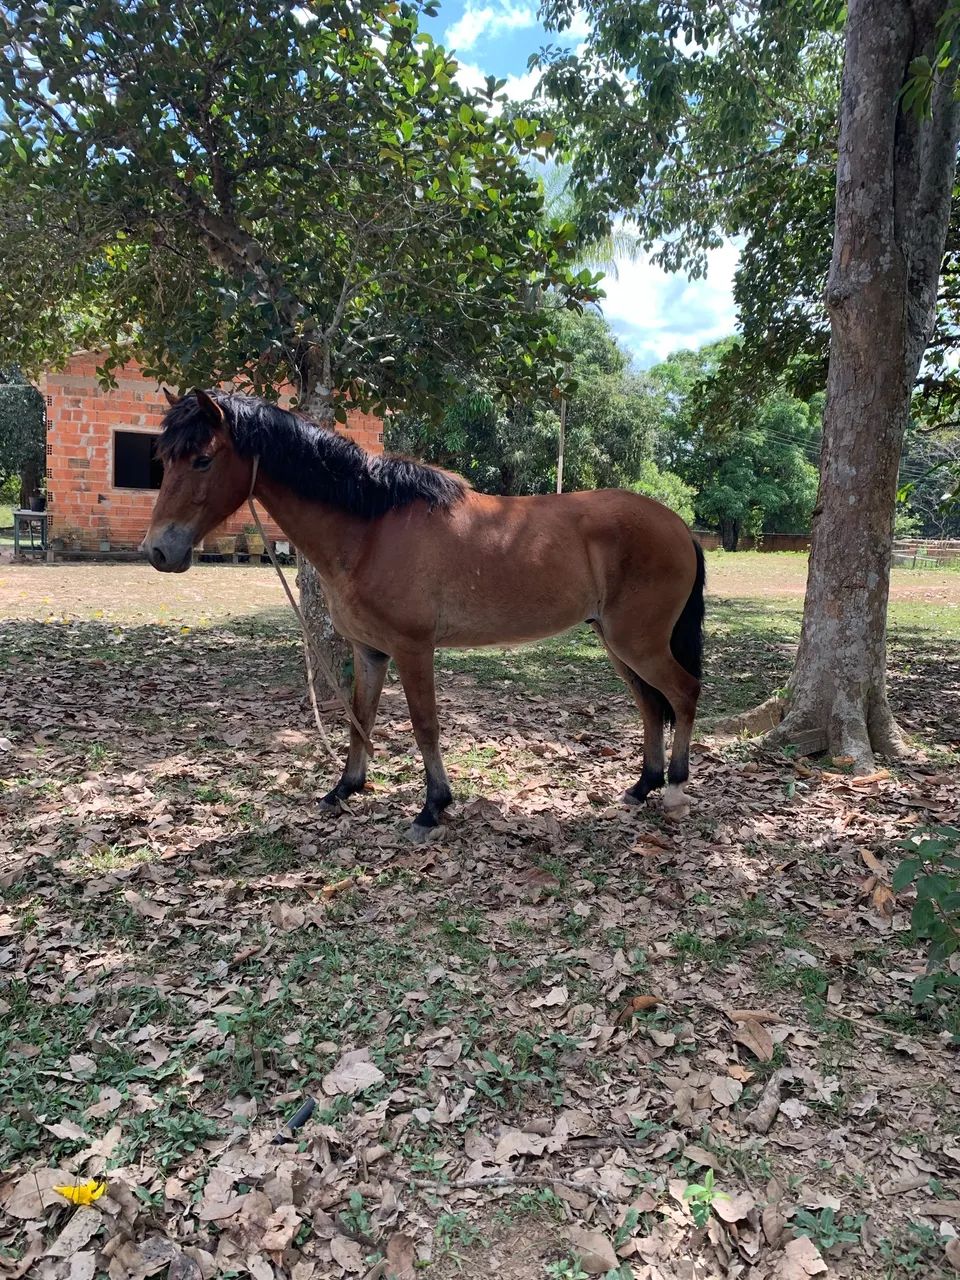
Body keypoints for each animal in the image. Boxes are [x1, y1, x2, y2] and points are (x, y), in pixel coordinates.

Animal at [142, 389, 705, 840]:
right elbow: (360, 719)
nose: (158, 552)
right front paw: (345, 789)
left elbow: (425, 725)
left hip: (639, 643)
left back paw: (675, 792)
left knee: (682, 694)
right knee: (651, 706)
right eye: (163, 458)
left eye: (202, 459)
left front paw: (432, 808)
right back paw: (642, 786)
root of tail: (678, 526)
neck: (370, 529)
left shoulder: (413, 649)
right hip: (616, 643)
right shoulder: (369, 651)